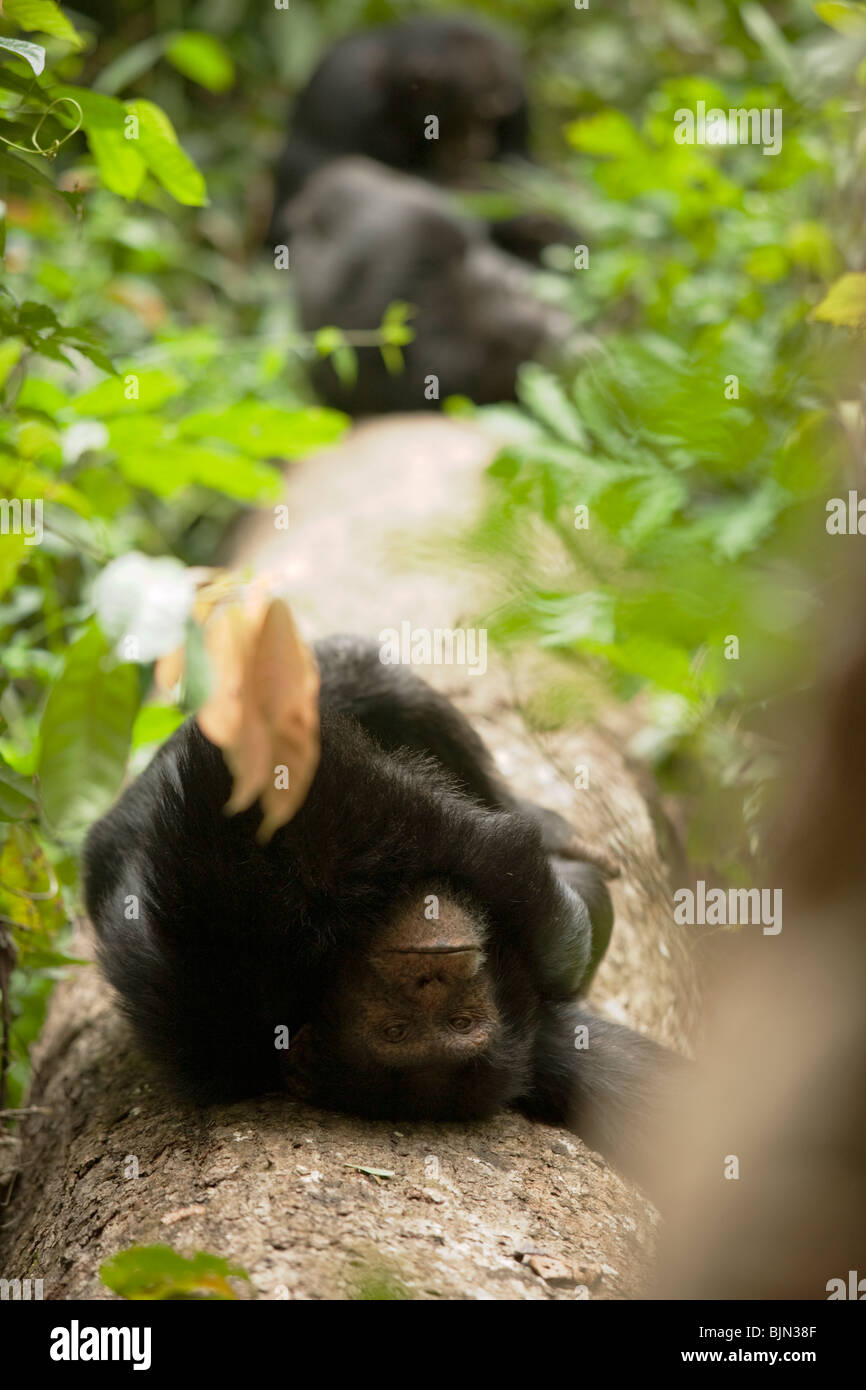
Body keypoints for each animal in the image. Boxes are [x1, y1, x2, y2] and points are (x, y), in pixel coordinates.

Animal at [268, 16, 572, 262]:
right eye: (473, 115)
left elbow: (518, 161)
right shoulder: (338, 87)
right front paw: (518, 212)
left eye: (495, 118)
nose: (480, 142)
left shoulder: (517, 88)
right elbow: (320, 183)